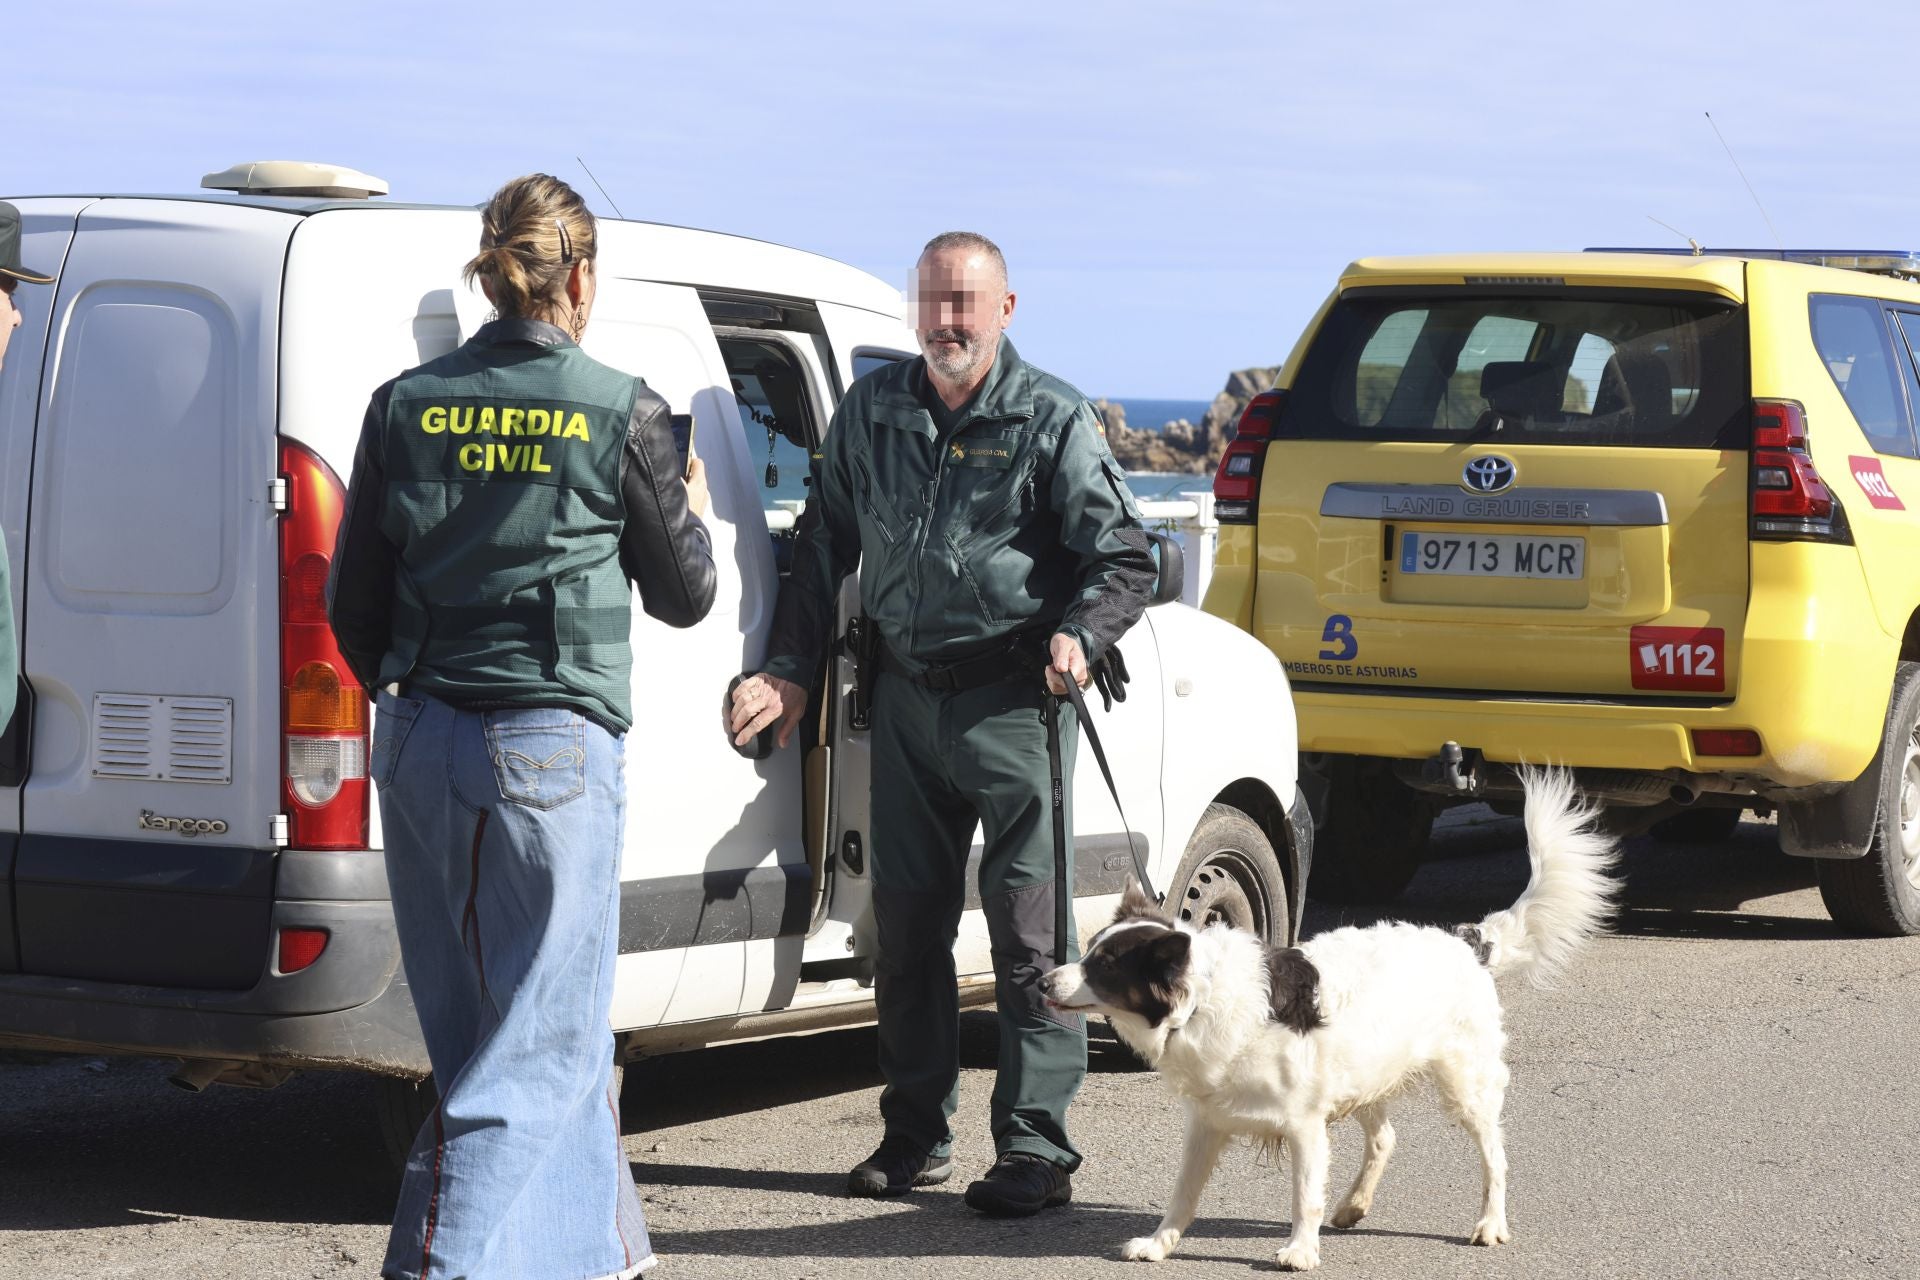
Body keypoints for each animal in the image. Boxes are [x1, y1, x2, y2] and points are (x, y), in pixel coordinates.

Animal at [1052, 771, 1620, 1274]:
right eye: (1090, 953)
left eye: (1105, 966)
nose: (1043, 982)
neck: (1206, 999)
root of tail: (1467, 941)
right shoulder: (1207, 1124)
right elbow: (1183, 1194)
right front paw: (1159, 1244)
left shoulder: (1304, 1125)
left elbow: (1304, 1196)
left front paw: (1301, 1251)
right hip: (1365, 1072)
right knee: (1386, 1138)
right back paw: (1354, 1205)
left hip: (1467, 1087)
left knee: (1494, 1157)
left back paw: (1490, 1223)